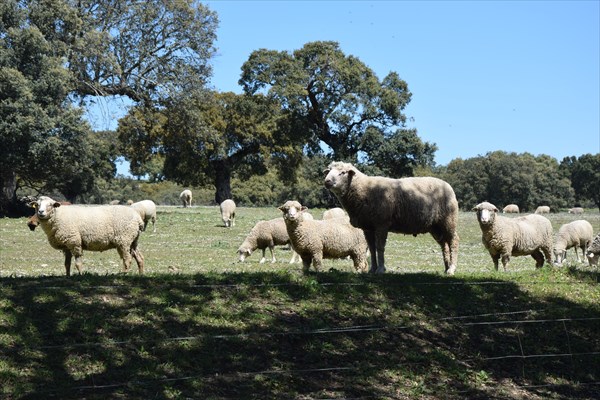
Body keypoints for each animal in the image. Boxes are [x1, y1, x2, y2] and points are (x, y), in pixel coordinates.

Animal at [324, 162, 460, 276]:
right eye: (328, 171)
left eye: (342, 172)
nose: (327, 181)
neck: (364, 189)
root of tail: (448, 186)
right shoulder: (368, 227)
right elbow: (372, 249)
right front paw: (372, 269)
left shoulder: (381, 224)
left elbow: (380, 247)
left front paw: (380, 269)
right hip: (436, 226)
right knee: (444, 244)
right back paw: (446, 268)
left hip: (449, 220)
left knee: (453, 241)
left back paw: (452, 269)